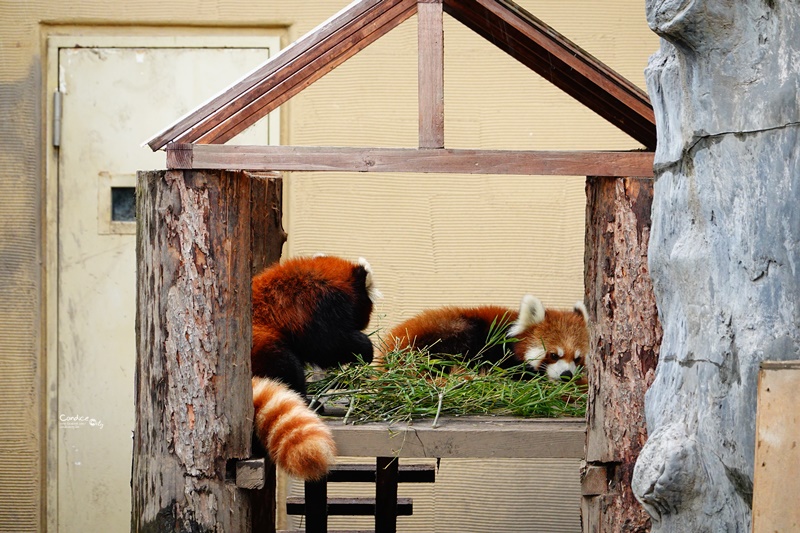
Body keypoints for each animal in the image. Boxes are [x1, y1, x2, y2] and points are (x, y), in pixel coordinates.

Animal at [248, 254, 380, 478]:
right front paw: (364, 350)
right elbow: (328, 345)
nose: (365, 324)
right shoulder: (319, 308)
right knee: (288, 367)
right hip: (264, 346)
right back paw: (308, 402)